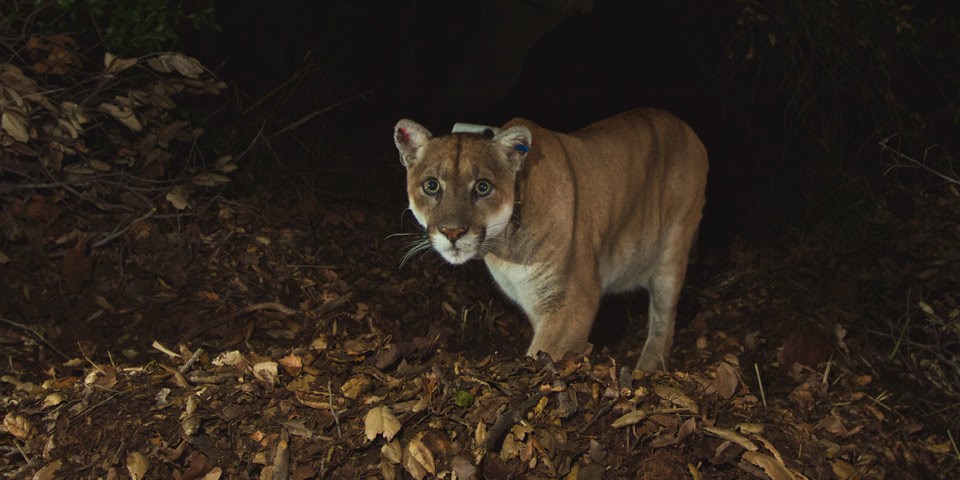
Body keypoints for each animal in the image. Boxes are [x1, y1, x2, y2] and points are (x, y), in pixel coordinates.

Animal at [390, 109, 704, 372]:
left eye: (482, 187)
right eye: (432, 185)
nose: (453, 232)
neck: (504, 248)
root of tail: (684, 125)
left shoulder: (571, 302)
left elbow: (545, 354)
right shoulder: (534, 300)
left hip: (672, 251)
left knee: (664, 320)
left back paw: (646, 370)